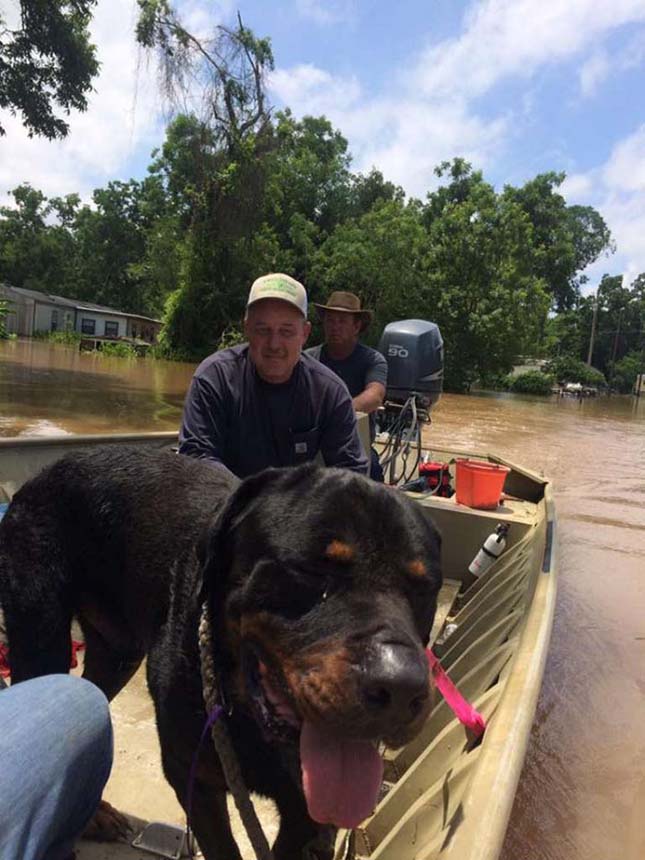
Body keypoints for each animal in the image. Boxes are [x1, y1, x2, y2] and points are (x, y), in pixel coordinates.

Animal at [0, 450, 440, 860]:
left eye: (424, 588)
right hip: (41, 632)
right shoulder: (192, 774)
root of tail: (38, 478)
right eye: (313, 571)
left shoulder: (305, 811)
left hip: (116, 652)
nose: (402, 688)